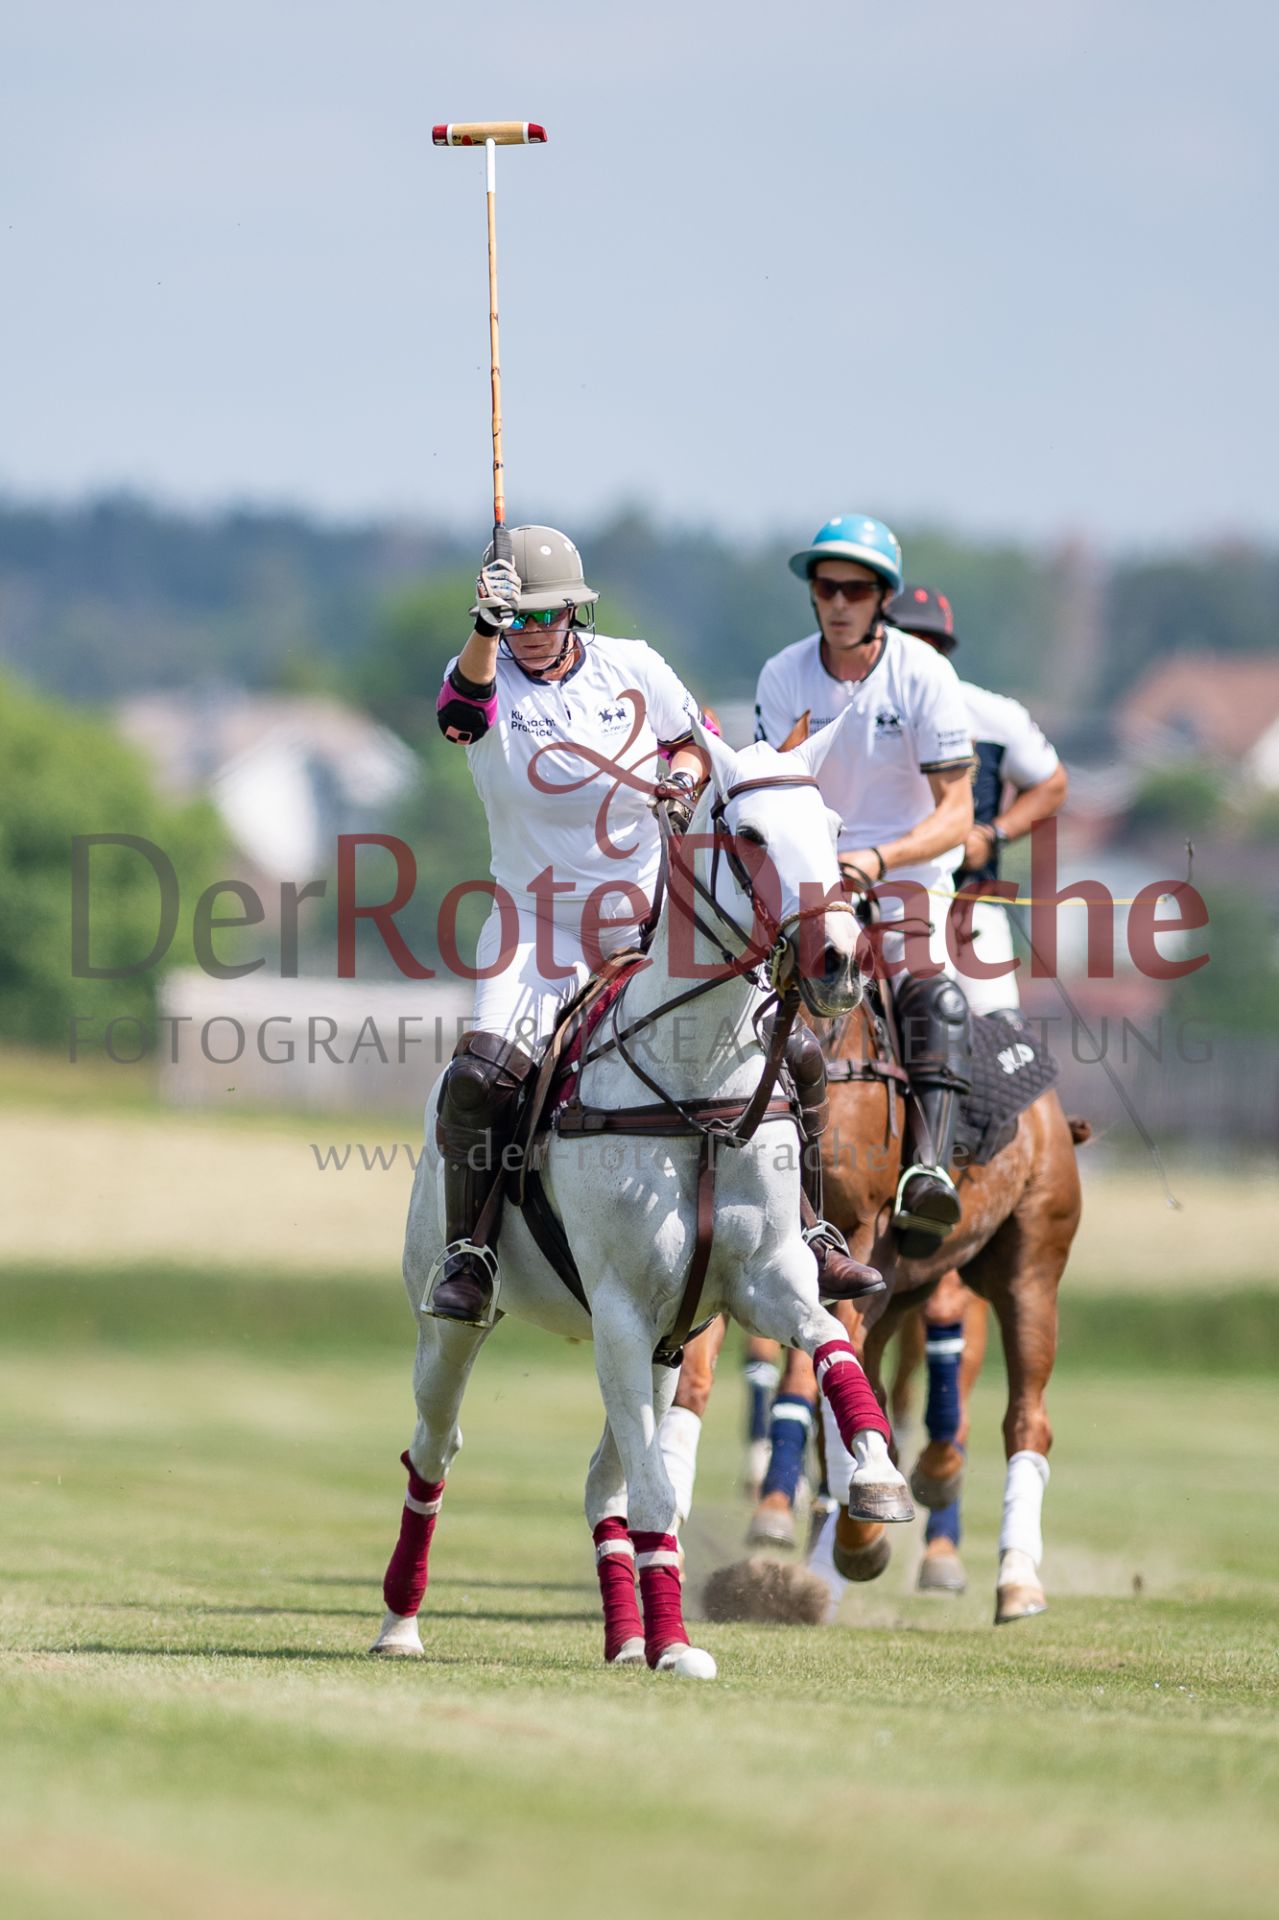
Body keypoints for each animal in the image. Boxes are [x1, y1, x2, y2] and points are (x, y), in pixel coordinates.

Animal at [369, 709, 916, 1679]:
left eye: (832, 828)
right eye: (748, 835)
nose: (836, 963)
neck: (693, 1085)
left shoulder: (759, 1282)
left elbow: (830, 1347)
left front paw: (877, 1479)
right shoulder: (621, 1310)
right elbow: (660, 1493)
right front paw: (679, 1647)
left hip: (666, 1346)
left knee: (602, 1480)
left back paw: (624, 1640)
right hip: (456, 1326)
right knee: (434, 1450)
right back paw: (401, 1620)